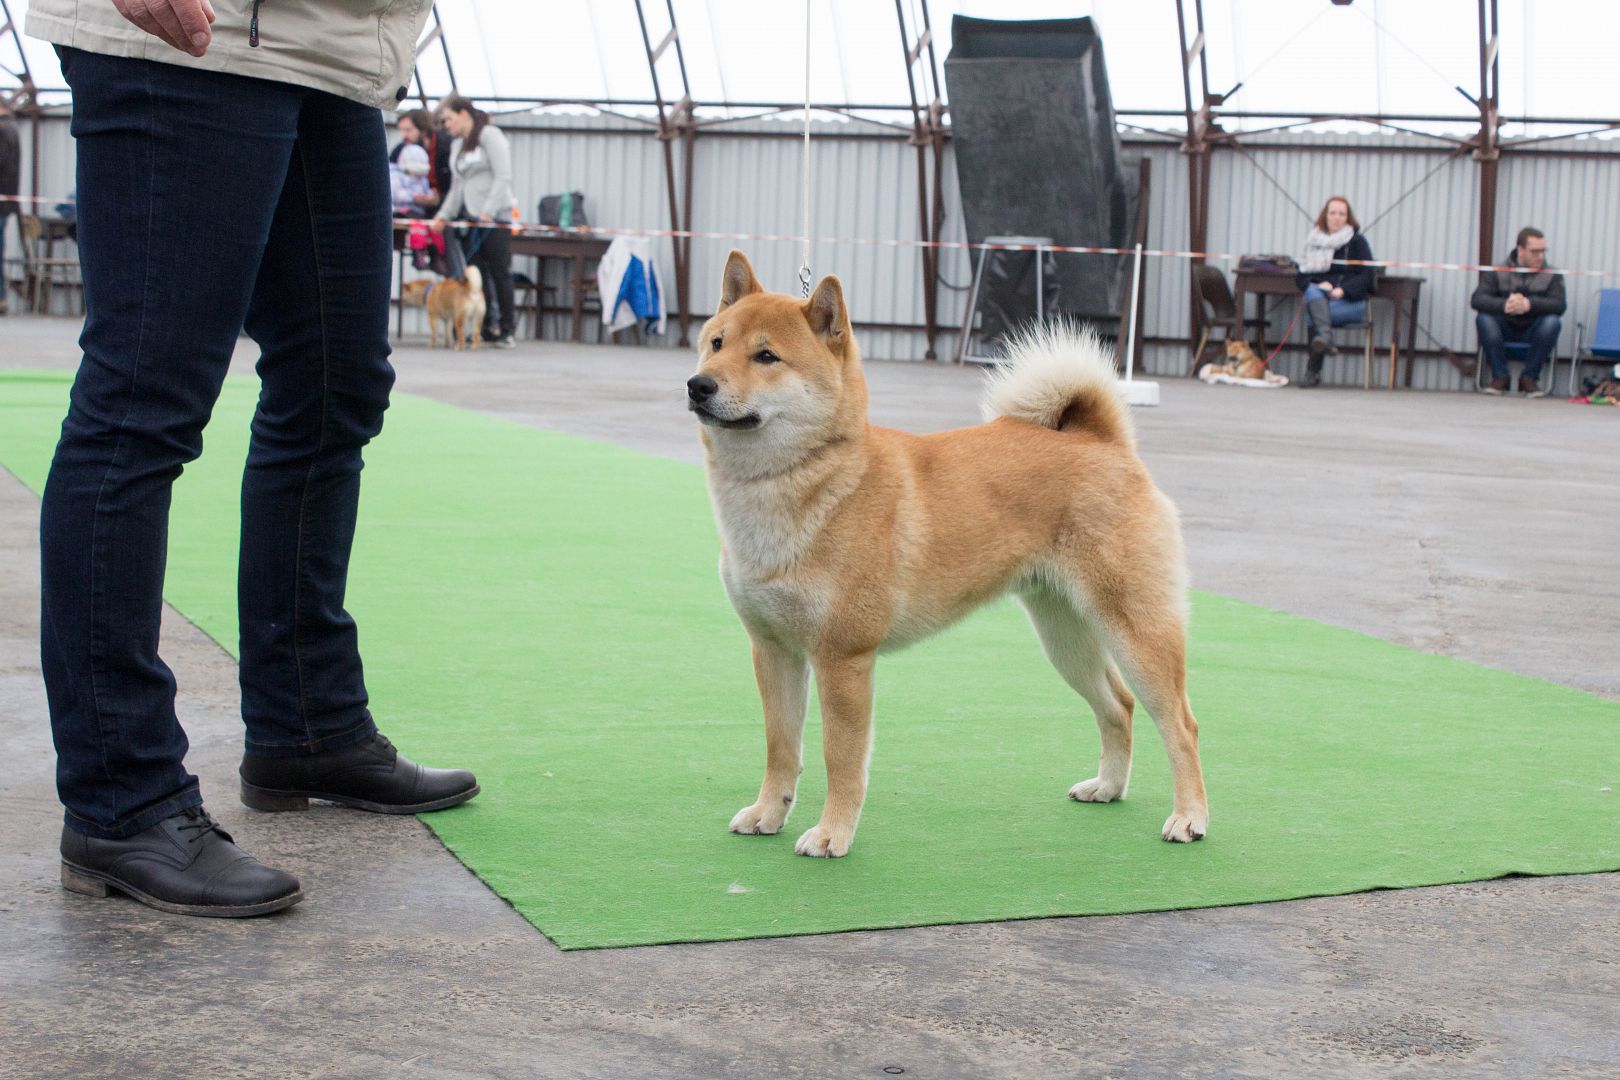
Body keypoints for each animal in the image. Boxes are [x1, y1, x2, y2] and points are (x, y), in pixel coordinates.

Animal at [683, 254, 1205, 861]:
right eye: (716, 343)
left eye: (766, 356)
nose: (698, 384)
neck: (803, 484)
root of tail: (1104, 443)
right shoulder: (773, 651)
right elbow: (781, 746)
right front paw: (768, 814)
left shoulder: (843, 658)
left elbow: (841, 759)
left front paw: (833, 833)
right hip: (1064, 638)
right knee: (1117, 706)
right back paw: (1108, 787)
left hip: (1137, 632)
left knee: (1180, 724)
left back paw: (1190, 818)